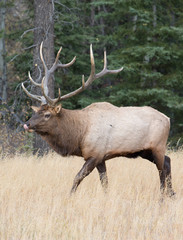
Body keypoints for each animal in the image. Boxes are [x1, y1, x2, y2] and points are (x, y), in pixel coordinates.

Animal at [22, 42, 175, 196]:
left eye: (47, 115)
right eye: (37, 112)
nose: (27, 124)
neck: (79, 134)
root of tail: (168, 119)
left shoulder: (95, 154)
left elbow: (78, 177)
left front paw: (70, 196)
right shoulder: (101, 158)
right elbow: (104, 182)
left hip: (158, 146)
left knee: (161, 170)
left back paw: (162, 196)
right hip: (145, 151)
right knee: (167, 161)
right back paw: (172, 194)